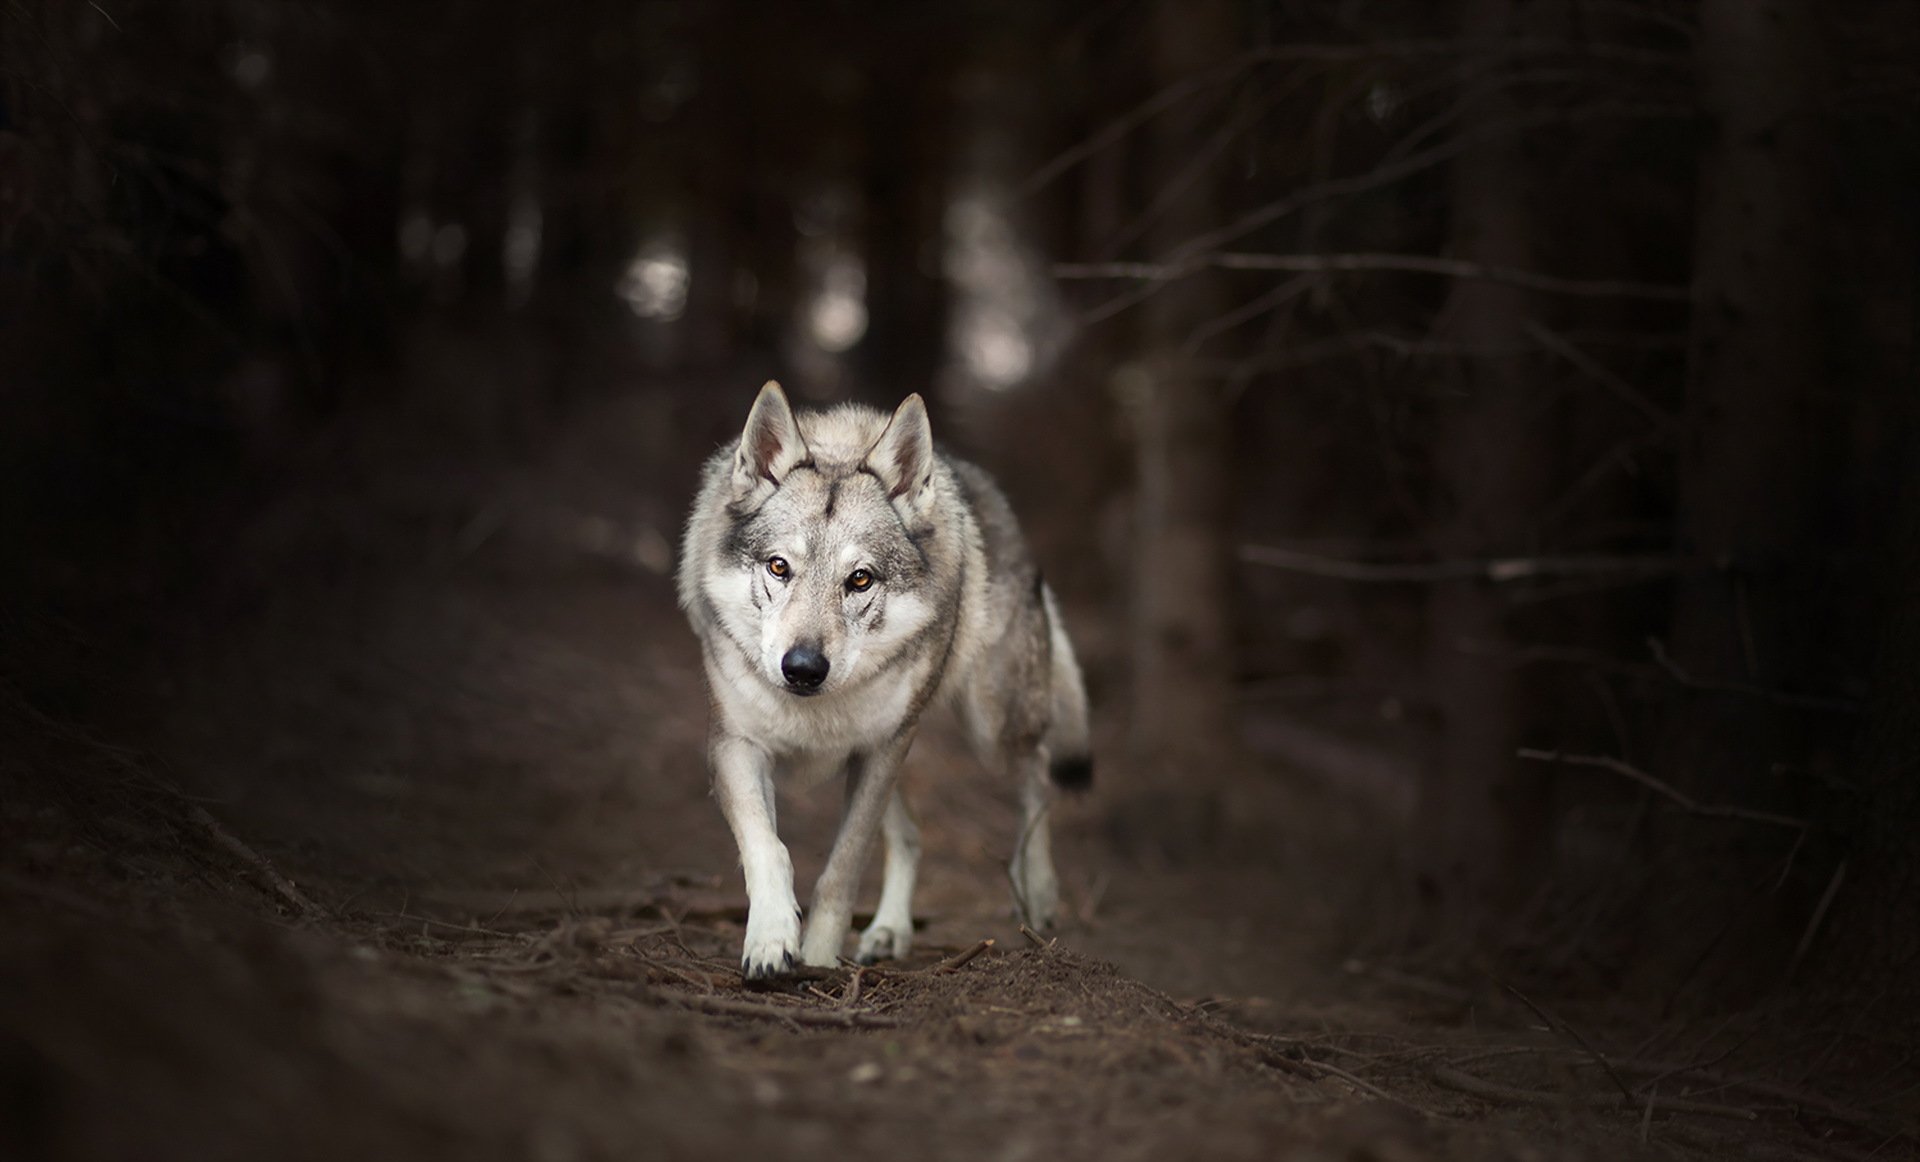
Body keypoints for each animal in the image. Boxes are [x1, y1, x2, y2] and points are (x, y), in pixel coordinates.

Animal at [677, 381, 1093, 979]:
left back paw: (1035, 891)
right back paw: (890, 930)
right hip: (904, 751)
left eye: (860, 580)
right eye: (779, 567)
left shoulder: (877, 753)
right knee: (913, 834)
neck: (814, 712)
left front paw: (820, 963)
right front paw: (771, 943)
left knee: (1037, 777)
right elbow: (768, 849)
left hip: (987, 726)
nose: (803, 668)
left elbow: (841, 872)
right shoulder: (736, 746)